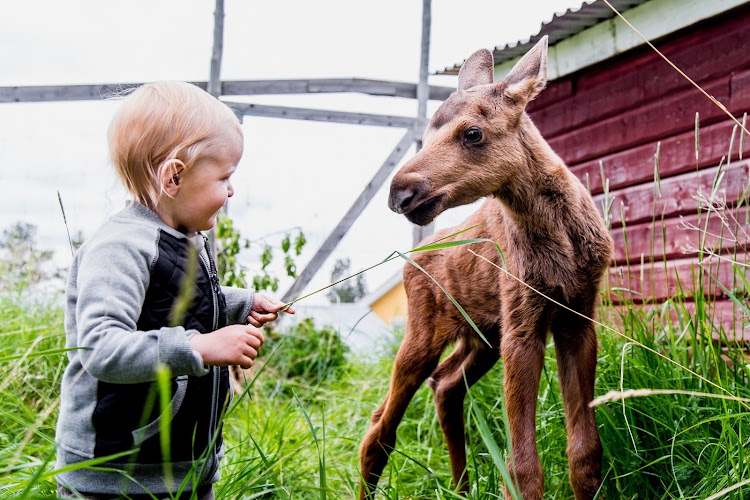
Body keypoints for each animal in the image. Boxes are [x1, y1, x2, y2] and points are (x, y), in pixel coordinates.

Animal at [360, 36, 616, 500]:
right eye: (425, 135)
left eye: (472, 133)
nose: (399, 194)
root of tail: (411, 260)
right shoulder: (522, 324)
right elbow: (522, 468)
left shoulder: (577, 316)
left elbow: (585, 454)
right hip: (424, 332)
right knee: (379, 429)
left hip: (482, 335)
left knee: (444, 385)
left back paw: (462, 487)